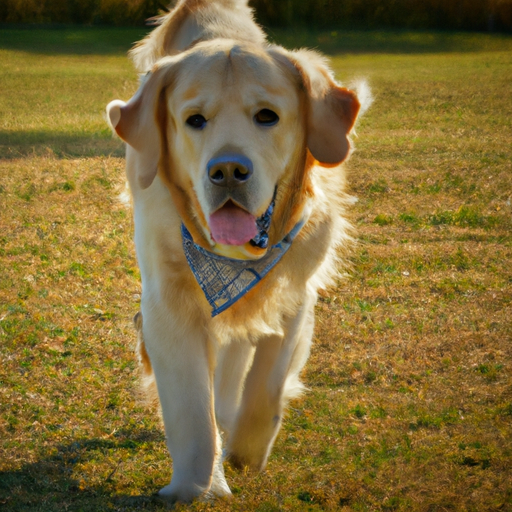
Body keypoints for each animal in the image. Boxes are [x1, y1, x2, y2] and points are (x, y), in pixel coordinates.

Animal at [106, 0, 366, 504]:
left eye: (267, 116)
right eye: (194, 120)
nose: (227, 170)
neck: (233, 262)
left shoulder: (294, 290)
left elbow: (267, 385)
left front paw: (246, 450)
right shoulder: (167, 304)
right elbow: (191, 409)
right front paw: (194, 485)